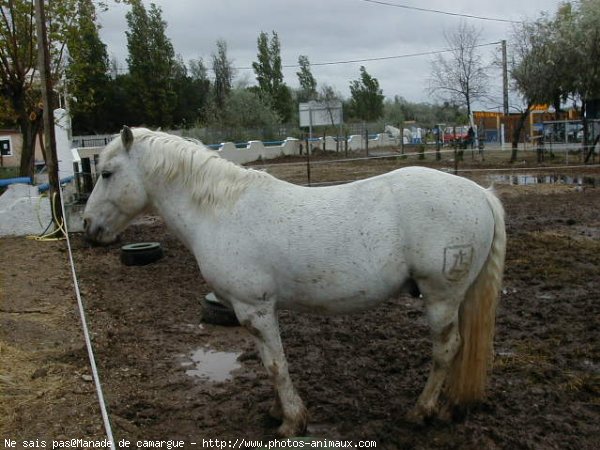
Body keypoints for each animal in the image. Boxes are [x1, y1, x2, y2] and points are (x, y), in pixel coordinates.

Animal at [83, 126, 506, 436]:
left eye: (106, 173)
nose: (89, 227)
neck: (222, 210)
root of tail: (480, 194)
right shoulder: (253, 312)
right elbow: (268, 360)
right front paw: (277, 411)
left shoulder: (254, 308)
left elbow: (275, 364)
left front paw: (291, 421)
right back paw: (449, 406)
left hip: (441, 297)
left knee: (446, 350)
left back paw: (421, 411)